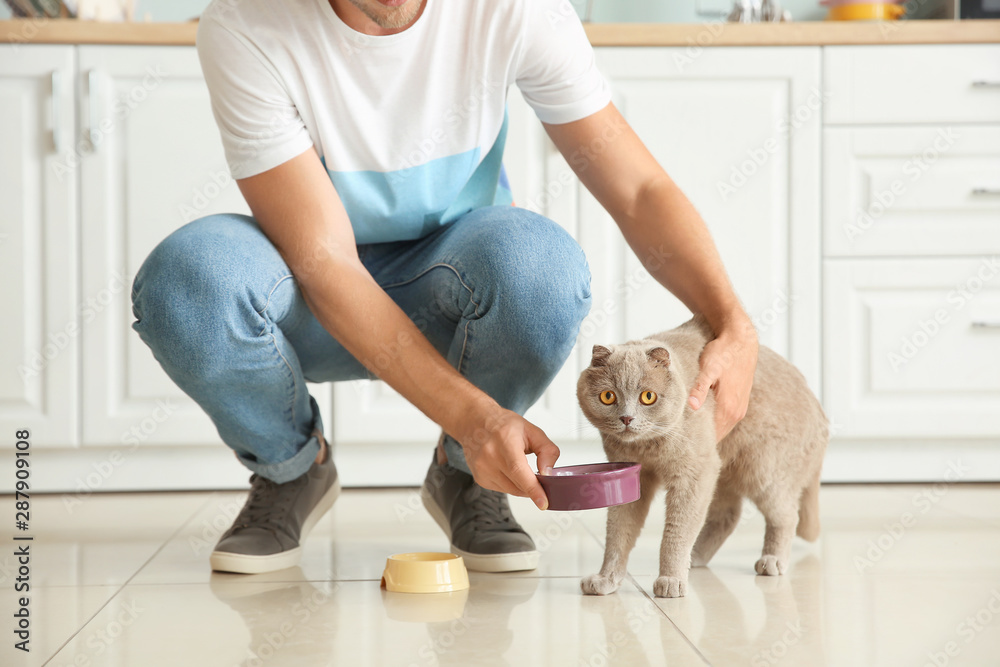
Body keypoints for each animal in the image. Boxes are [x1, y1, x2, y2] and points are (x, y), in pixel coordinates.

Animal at [580, 318, 828, 600]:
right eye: (608, 396)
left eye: (648, 397)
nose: (626, 418)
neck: (646, 449)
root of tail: (820, 412)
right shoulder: (631, 478)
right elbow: (618, 533)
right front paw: (606, 579)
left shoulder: (695, 472)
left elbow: (676, 531)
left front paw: (671, 580)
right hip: (724, 469)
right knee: (728, 515)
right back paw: (696, 556)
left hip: (762, 470)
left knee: (786, 515)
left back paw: (771, 561)